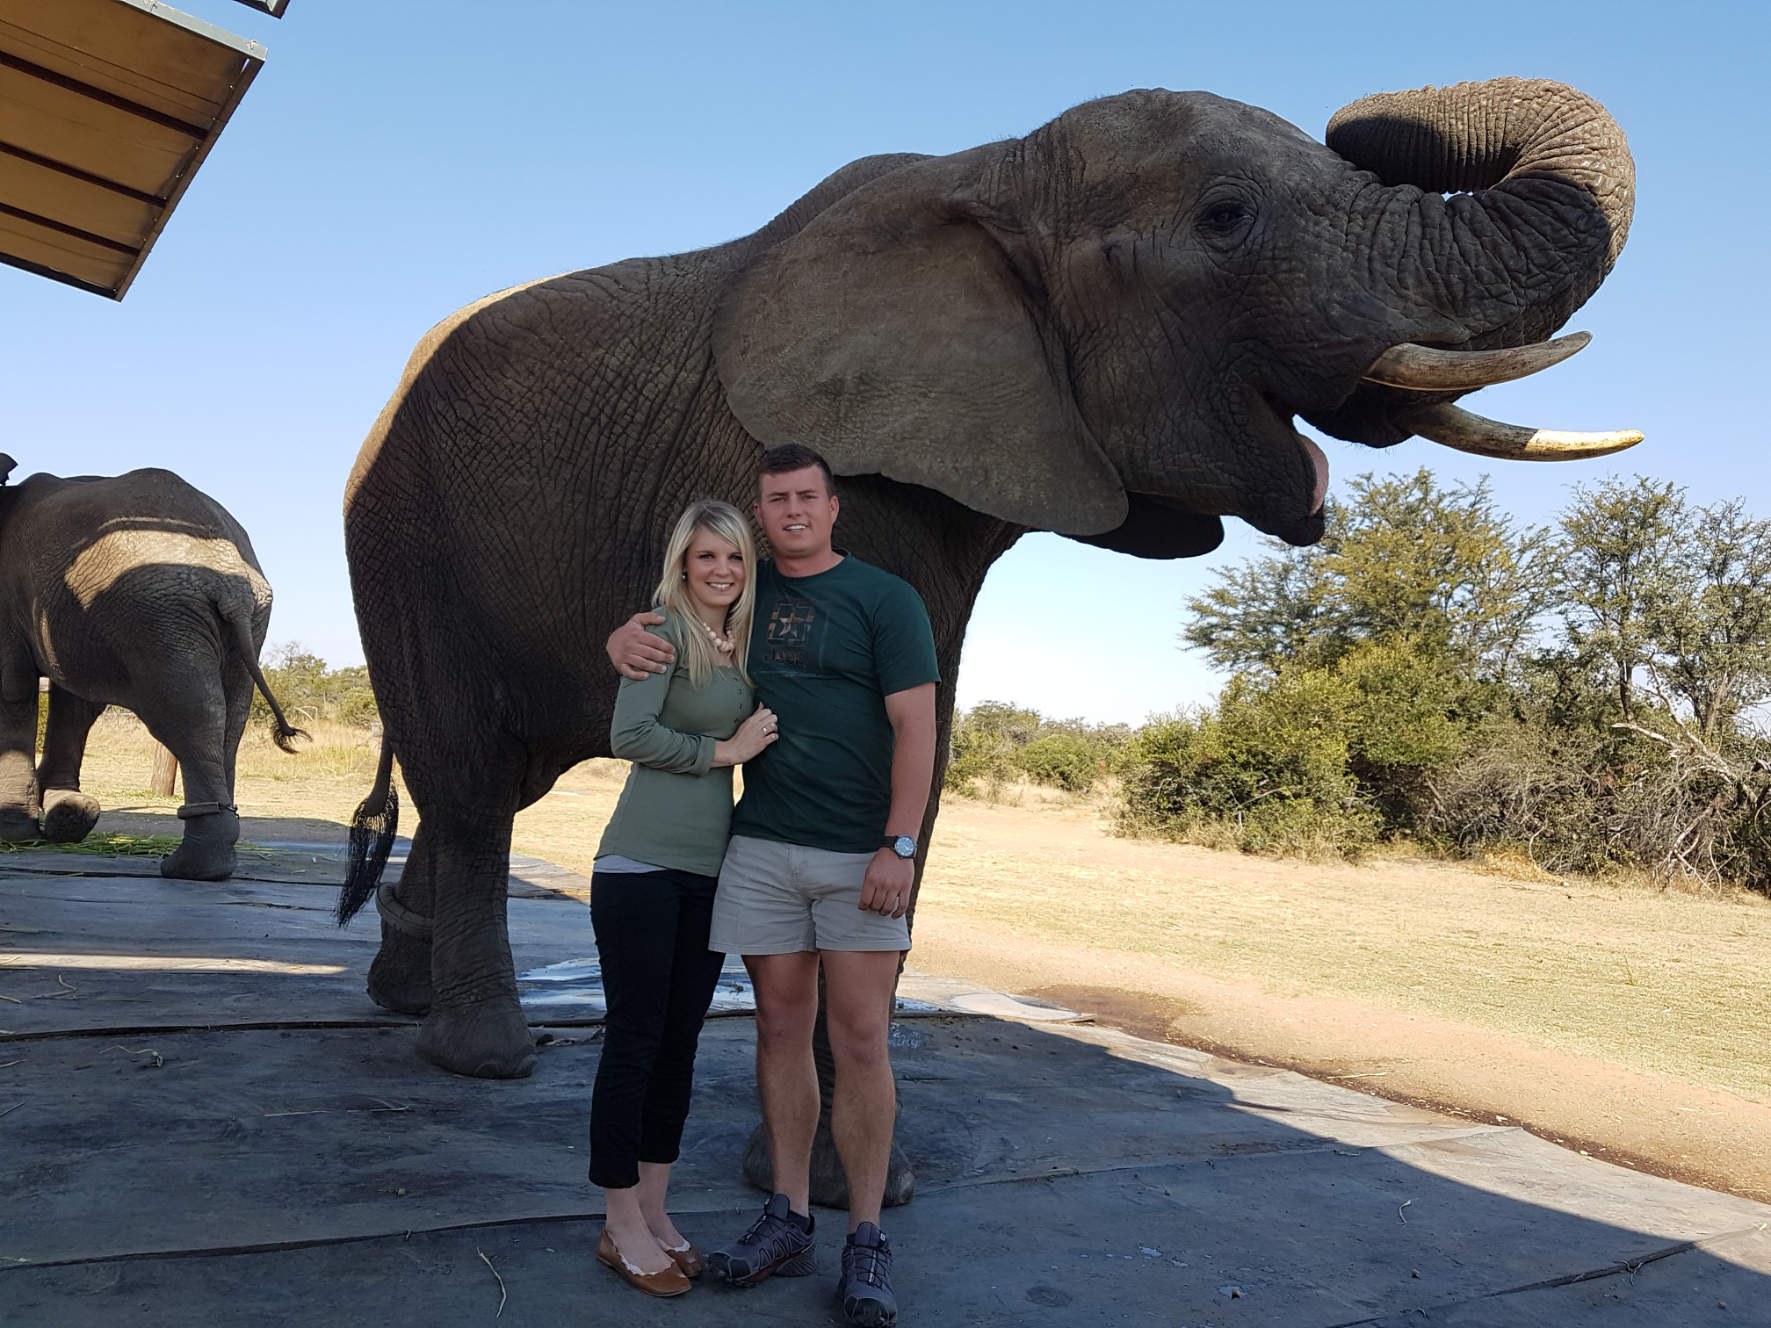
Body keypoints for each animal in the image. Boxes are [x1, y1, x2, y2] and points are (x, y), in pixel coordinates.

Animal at [0, 457, 307, 880]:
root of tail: (233, 579)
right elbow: (74, 702)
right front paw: (67, 816)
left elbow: (14, 688)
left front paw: (16, 833)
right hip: (243, 621)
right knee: (229, 721)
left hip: (158, 618)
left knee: (188, 716)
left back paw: (188, 868)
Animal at [338, 77, 1638, 1083]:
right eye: (1225, 218)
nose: (1363, 116)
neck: (996, 167)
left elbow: (923, 728)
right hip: (400, 535)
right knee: (470, 775)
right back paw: (482, 1054)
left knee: (496, 780)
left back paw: (403, 994)